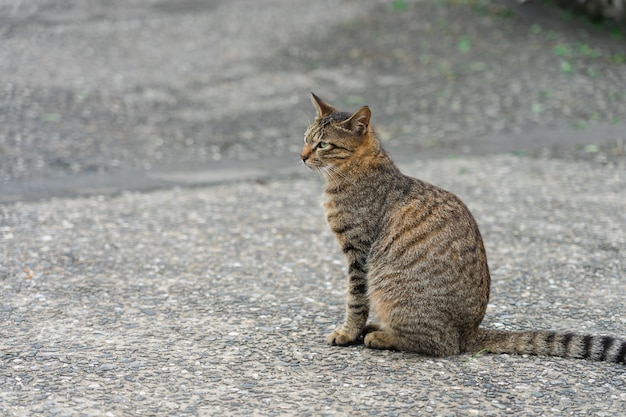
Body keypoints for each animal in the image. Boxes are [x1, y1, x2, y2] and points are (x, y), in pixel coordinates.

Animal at [300, 92, 620, 362]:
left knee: (442, 345)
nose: (302, 156)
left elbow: (355, 301)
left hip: (391, 289)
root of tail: (471, 331)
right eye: (305, 138)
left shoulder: (359, 252)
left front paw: (347, 333)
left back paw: (382, 336)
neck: (352, 172)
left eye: (323, 144)